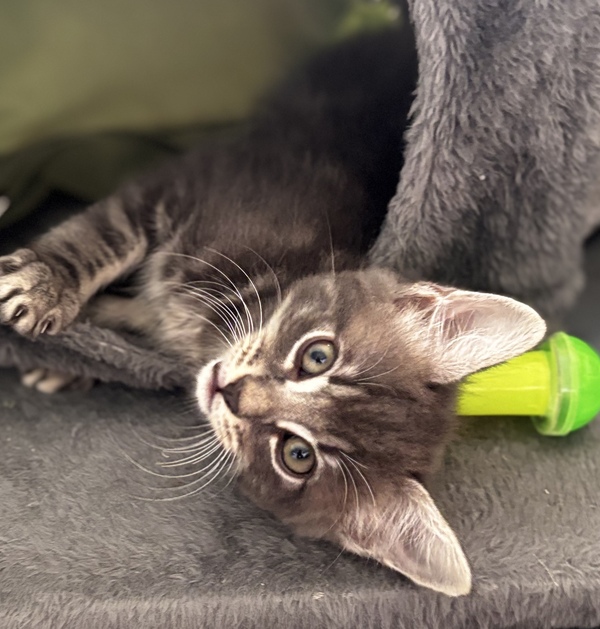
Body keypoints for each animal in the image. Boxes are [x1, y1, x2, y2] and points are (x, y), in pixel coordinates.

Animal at [0, 27, 545, 595]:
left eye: (297, 456)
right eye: (319, 356)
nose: (233, 393)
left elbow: (128, 314)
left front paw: (81, 352)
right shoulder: (185, 186)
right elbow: (103, 236)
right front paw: (47, 284)